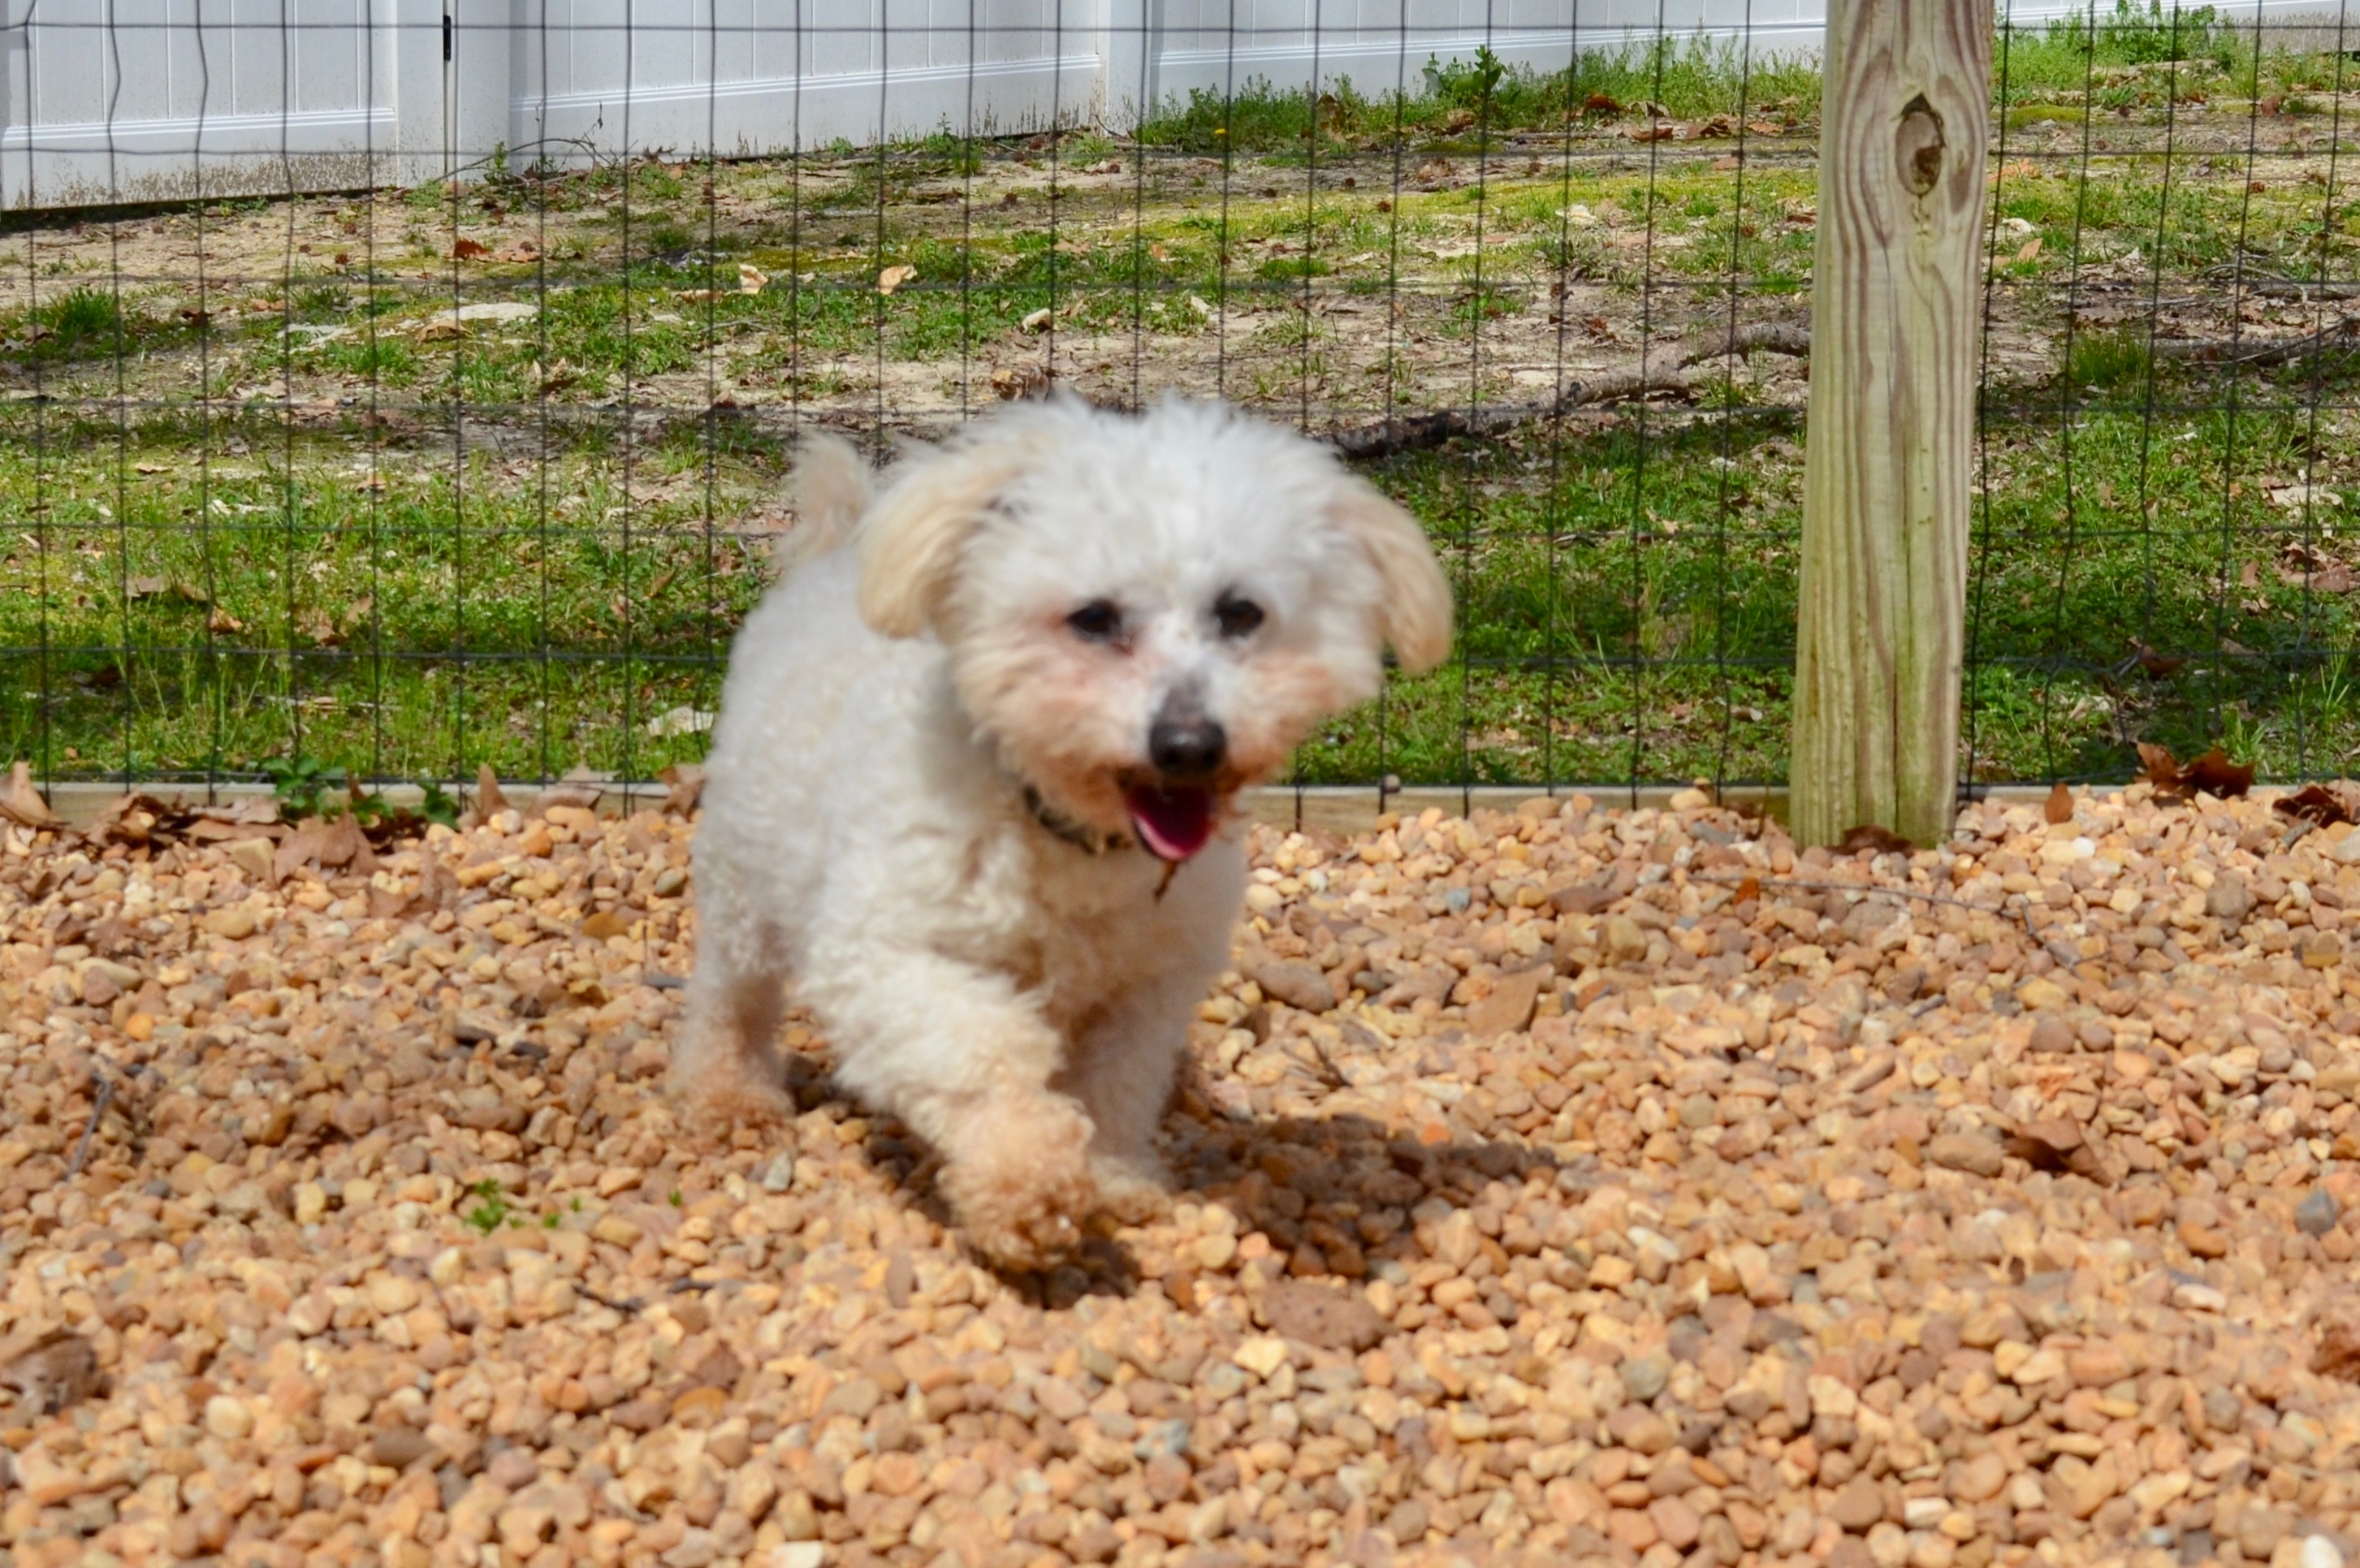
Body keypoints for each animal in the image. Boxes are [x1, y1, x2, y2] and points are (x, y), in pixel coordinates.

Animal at [675, 399, 1454, 1265]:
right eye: (1093, 618)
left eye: (1241, 613)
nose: (1189, 744)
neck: (1071, 842)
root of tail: (837, 554)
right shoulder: (883, 959)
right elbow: (982, 1053)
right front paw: (1026, 1180)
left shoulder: (1146, 988)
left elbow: (1113, 1084)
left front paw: (1112, 1176)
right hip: (746, 880)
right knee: (730, 996)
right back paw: (727, 1095)